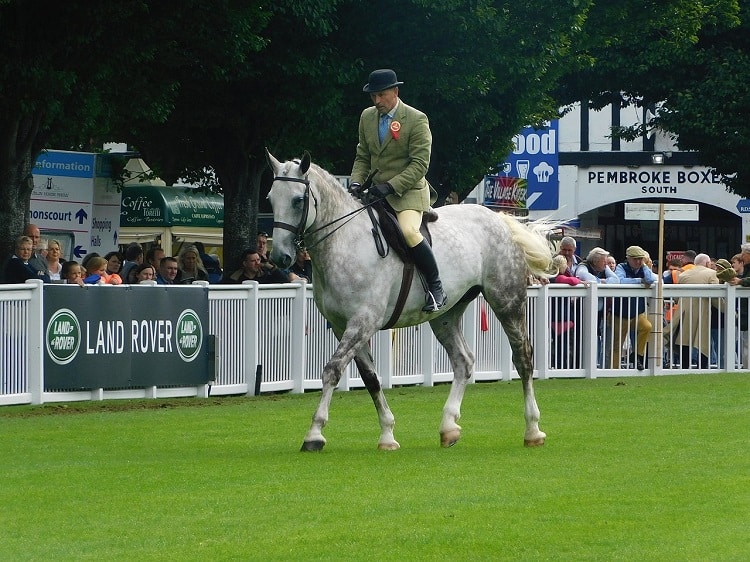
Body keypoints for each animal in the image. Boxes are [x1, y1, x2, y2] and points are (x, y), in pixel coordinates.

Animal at [268, 150, 556, 450]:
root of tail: (499, 219)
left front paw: (314, 433)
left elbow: (332, 370)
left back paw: (533, 430)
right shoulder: (342, 326)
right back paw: (449, 427)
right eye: (270, 199)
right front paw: (387, 434)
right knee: (463, 361)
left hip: (507, 302)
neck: (344, 242)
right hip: (445, 316)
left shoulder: (362, 323)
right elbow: (371, 379)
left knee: (522, 357)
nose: (280, 257)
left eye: (298, 200)